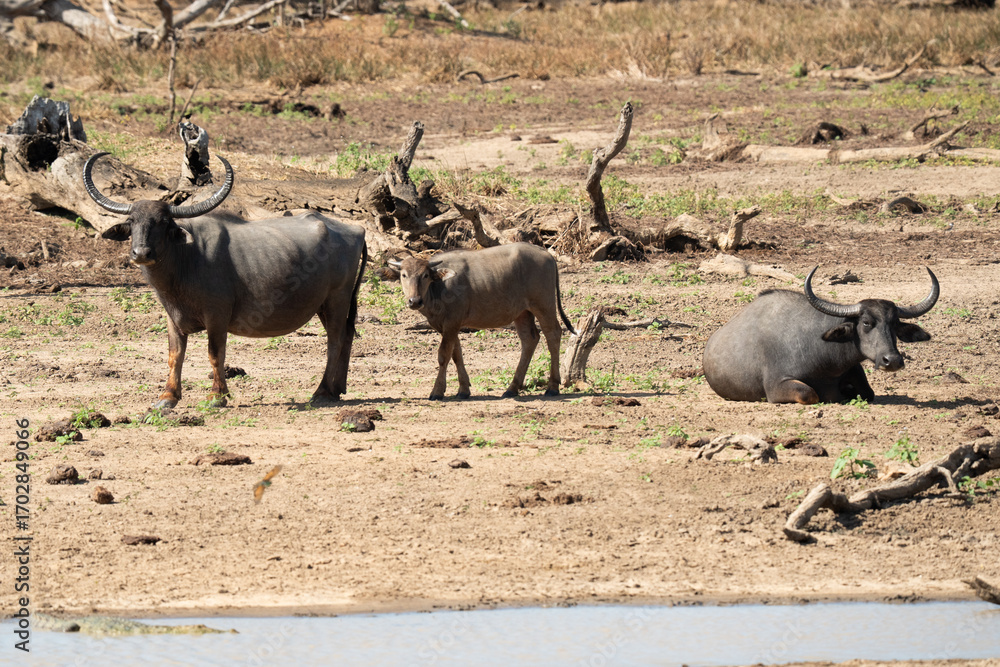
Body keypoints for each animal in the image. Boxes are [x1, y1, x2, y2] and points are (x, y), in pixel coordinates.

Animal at [85, 152, 367, 408]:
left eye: (164, 221)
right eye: (133, 221)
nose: (141, 253)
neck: (186, 259)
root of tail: (356, 229)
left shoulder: (217, 315)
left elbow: (214, 353)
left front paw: (217, 396)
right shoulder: (172, 317)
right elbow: (175, 355)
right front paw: (167, 397)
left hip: (337, 299)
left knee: (335, 340)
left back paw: (322, 392)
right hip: (325, 305)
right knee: (346, 335)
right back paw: (336, 389)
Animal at [390, 243, 577, 400]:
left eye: (425, 275)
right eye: (404, 275)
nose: (414, 301)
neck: (439, 288)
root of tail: (546, 253)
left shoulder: (452, 323)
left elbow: (444, 356)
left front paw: (437, 391)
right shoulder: (449, 326)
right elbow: (457, 354)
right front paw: (463, 390)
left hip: (543, 305)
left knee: (553, 334)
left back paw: (552, 387)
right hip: (522, 313)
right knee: (530, 339)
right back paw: (512, 388)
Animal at [703, 266, 938, 404]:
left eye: (895, 324)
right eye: (866, 322)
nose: (893, 361)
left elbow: (867, 392)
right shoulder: (777, 386)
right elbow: (810, 394)